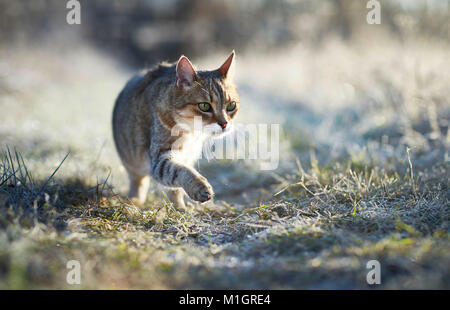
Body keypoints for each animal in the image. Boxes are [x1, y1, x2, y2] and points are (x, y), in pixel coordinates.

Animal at [112, 52, 239, 209]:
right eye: (204, 106)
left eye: (231, 105)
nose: (224, 123)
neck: (191, 134)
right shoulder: (160, 157)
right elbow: (180, 171)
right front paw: (199, 186)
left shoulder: (187, 156)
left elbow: (177, 187)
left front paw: (180, 207)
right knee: (138, 182)